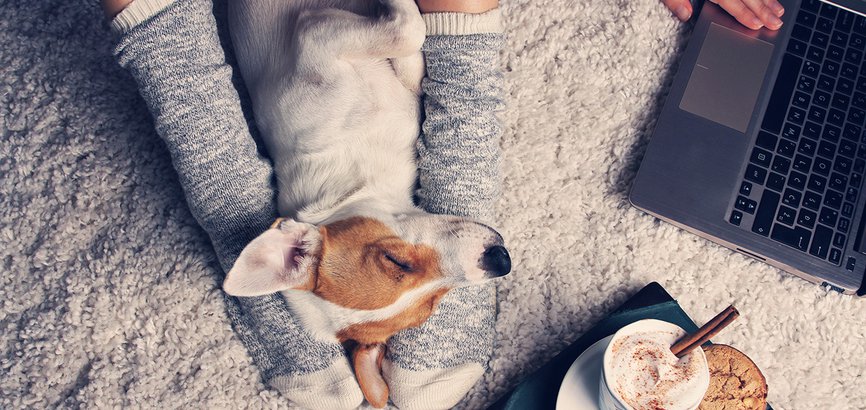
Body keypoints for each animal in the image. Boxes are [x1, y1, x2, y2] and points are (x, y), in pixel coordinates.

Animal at [221, 0, 512, 406]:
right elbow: (408, 29)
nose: (502, 261)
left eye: (394, 260)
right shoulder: (316, 34)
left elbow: (412, 54)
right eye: (429, 309)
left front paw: (414, 70)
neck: (354, 175)